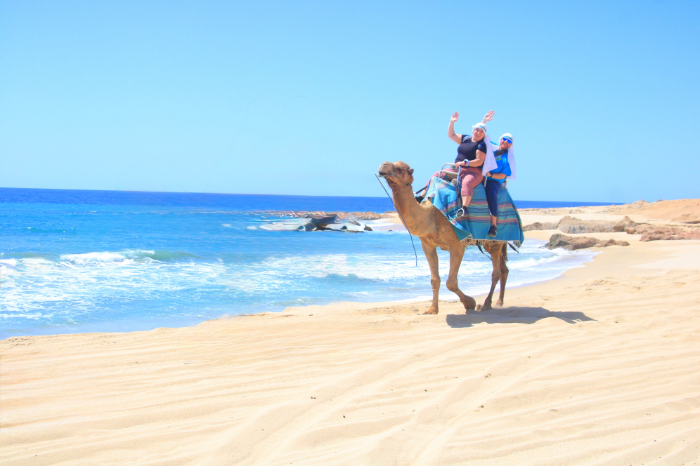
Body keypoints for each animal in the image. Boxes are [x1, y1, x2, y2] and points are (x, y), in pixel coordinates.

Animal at [377, 161, 509, 314]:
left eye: (399, 168)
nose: (383, 165)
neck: (431, 216)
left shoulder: (457, 245)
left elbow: (451, 282)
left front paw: (470, 303)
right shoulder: (428, 246)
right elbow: (435, 279)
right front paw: (432, 309)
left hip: (496, 241)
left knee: (496, 272)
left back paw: (487, 304)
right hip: (490, 244)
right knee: (504, 269)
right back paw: (499, 302)